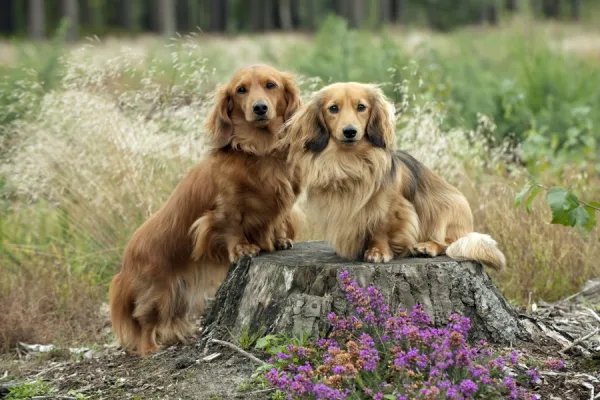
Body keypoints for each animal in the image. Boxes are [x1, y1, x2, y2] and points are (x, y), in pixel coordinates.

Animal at [108, 65, 302, 356]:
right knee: (145, 322)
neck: (260, 149)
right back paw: (150, 349)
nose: (259, 108)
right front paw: (243, 248)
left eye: (271, 85)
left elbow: (278, 221)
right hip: (156, 292)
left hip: (179, 296)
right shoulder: (227, 207)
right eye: (241, 90)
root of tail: (127, 257)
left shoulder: (282, 204)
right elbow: (233, 226)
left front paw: (280, 240)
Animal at [286, 81, 506, 268]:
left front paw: (378, 252)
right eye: (333, 108)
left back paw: (427, 246)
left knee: (449, 243)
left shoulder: (389, 207)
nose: (350, 131)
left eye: (361, 107)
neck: (349, 162)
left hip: (447, 211)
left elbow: (381, 229)